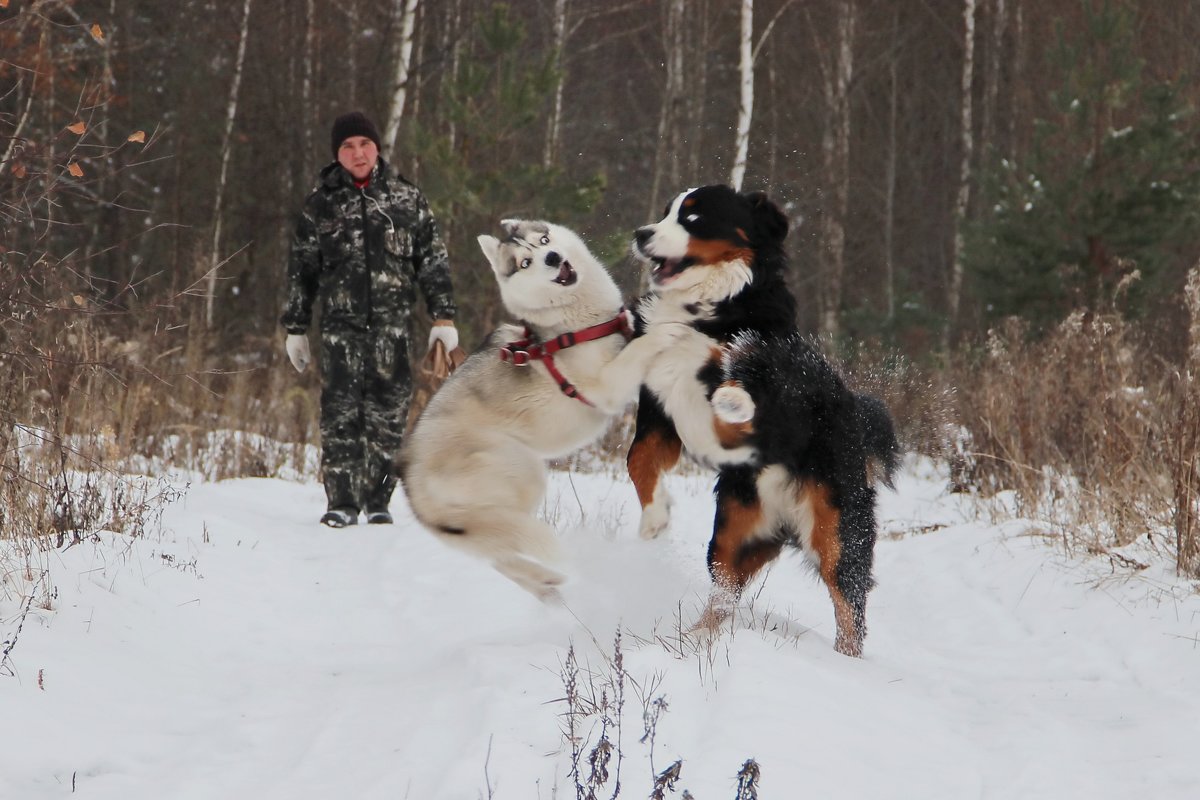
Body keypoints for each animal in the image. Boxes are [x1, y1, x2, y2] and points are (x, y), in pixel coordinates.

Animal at [400, 219, 676, 599]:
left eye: (544, 240)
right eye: (525, 263)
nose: (553, 257)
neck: (580, 324)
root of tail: (409, 480)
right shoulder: (607, 386)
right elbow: (643, 346)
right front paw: (667, 328)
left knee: (499, 555)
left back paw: (546, 586)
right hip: (522, 472)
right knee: (506, 543)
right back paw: (548, 578)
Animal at [633, 185, 897, 657]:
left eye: (694, 217)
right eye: (666, 213)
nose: (641, 234)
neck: (709, 309)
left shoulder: (778, 402)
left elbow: (741, 388)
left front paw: (733, 395)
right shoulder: (657, 411)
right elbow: (639, 460)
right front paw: (654, 519)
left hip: (838, 531)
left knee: (850, 607)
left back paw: (846, 663)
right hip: (733, 529)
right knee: (725, 589)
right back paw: (694, 640)